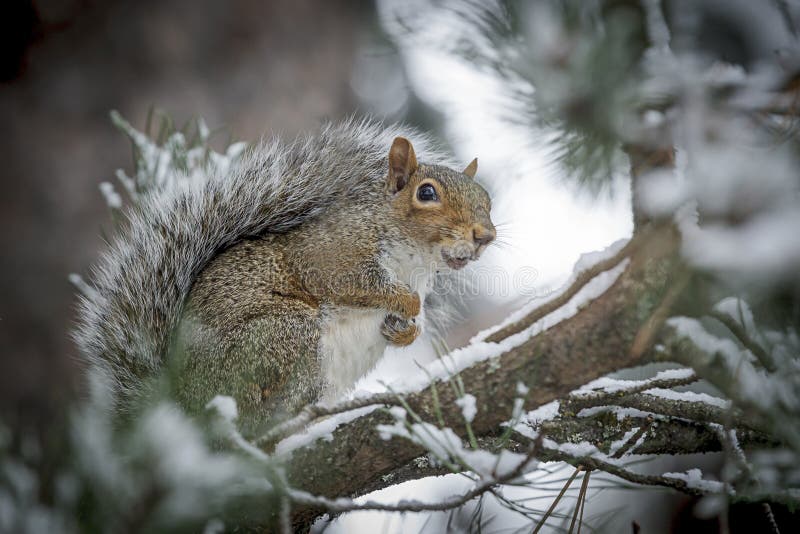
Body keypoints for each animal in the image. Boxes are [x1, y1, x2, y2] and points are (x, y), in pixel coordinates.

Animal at [78, 119, 496, 438]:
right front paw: (408, 302)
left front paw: (406, 329)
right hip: (283, 335)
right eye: (426, 193)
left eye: (487, 200)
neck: (416, 263)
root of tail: (182, 404)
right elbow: (352, 283)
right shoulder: (329, 255)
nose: (485, 236)